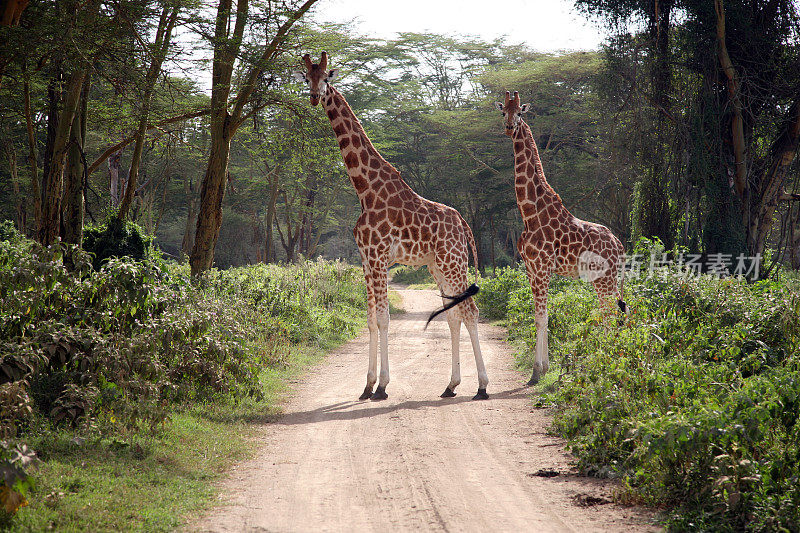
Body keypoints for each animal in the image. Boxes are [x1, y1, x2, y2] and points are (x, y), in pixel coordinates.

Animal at [296, 53, 490, 400]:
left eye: (327, 77)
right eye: (307, 78)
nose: (316, 97)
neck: (364, 189)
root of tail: (464, 224)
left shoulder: (378, 257)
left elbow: (385, 319)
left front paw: (383, 386)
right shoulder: (366, 260)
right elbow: (371, 319)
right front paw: (367, 385)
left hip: (454, 262)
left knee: (470, 311)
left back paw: (482, 385)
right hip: (437, 266)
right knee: (453, 314)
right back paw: (451, 385)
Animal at [496, 90, 628, 382]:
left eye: (519, 112)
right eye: (503, 112)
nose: (509, 127)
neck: (529, 210)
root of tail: (620, 246)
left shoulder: (542, 267)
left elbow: (542, 316)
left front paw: (537, 371)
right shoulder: (530, 268)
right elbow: (539, 316)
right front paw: (542, 368)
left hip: (604, 278)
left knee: (610, 312)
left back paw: (608, 361)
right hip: (606, 278)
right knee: (617, 310)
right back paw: (610, 357)